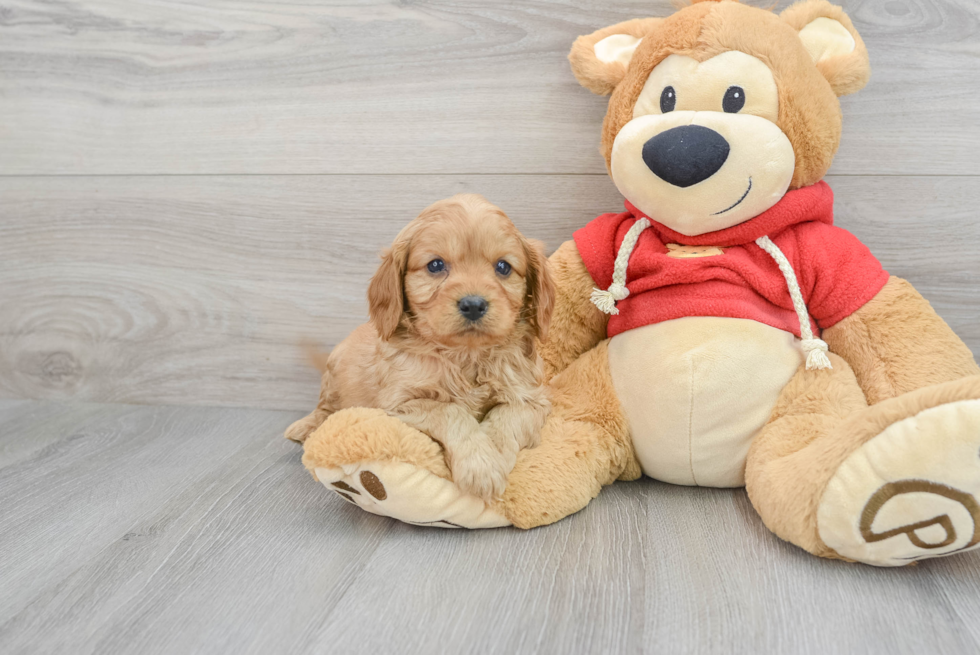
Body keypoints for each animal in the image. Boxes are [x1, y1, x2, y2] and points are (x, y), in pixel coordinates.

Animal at [288, 192, 556, 500]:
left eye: (503, 267)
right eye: (435, 265)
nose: (473, 304)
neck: (466, 355)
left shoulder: (532, 399)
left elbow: (506, 417)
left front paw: (493, 458)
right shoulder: (397, 405)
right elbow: (449, 411)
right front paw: (480, 465)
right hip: (333, 374)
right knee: (325, 407)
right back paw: (304, 427)